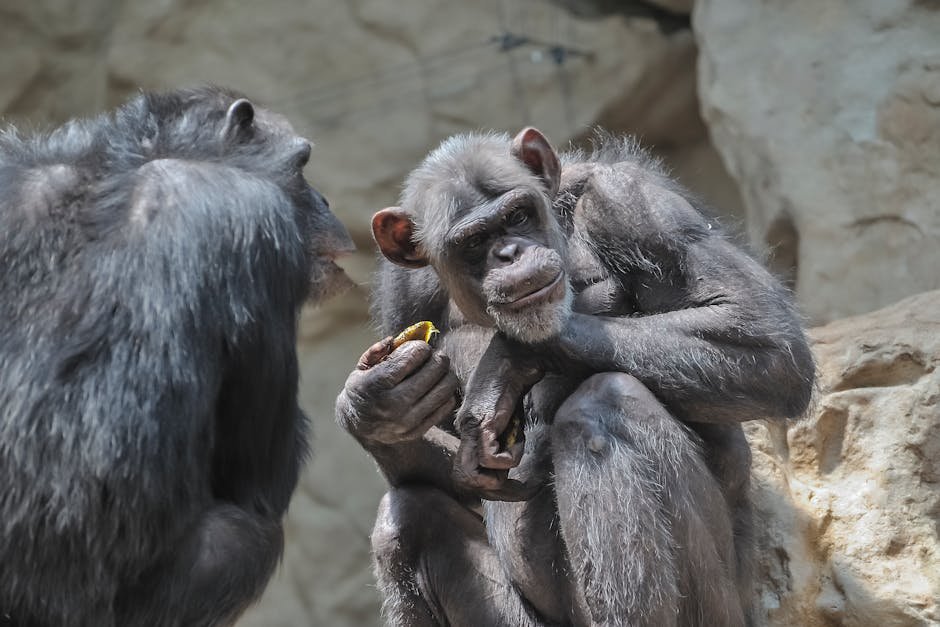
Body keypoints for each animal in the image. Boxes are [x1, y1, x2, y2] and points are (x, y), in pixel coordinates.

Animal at [0, 86, 354, 627]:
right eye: (302, 164)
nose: (325, 199)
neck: (120, 167)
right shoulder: (256, 219)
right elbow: (260, 475)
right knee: (243, 538)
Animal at [336, 126, 815, 626]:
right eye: (473, 242)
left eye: (517, 215)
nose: (510, 254)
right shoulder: (401, 293)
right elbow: (445, 474)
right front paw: (375, 407)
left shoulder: (631, 201)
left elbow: (763, 337)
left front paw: (506, 359)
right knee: (406, 518)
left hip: (723, 609)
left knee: (604, 403)